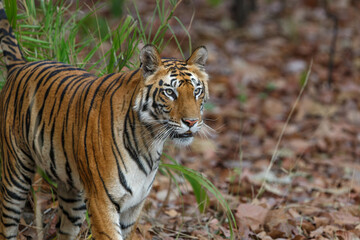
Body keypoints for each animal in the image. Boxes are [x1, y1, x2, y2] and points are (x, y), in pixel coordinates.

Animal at [0, 1, 208, 240]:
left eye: (197, 91)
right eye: (170, 92)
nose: (191, 122)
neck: (150, 141)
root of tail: (21, 65)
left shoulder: (133, 207)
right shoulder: (102, 201)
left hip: (72, 196)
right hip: (14, 175)